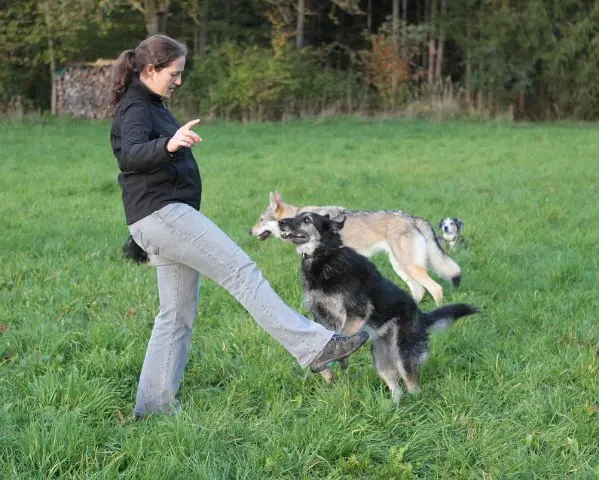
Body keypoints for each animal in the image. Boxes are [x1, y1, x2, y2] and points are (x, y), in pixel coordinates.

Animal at [278, 212, 480, 404]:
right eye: (296, 216)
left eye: (307, 219)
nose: (281, 222)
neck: (324, 256)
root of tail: (421, 315)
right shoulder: (321, 317)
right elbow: (321, 342)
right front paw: (327, 369)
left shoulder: (357, 312)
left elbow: (341, 334)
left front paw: (340, 357)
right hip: (381, 356)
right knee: (397, 389)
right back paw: (393, 408)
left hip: (401, 354)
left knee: (413, 387)